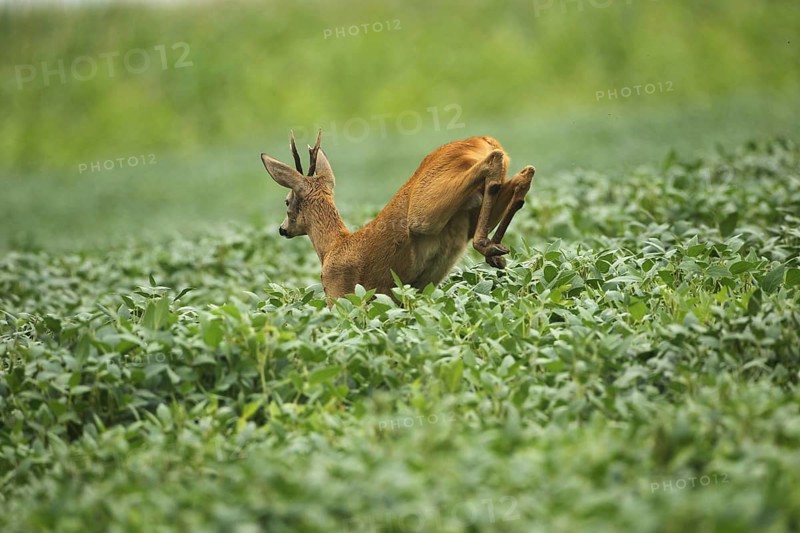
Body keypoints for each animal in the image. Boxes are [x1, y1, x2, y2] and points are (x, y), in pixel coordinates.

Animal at [260, 131, 535, 304]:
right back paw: (496, 252)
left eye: (287, 201)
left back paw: (487, 247)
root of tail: (483, 140)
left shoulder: (340, 294)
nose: (282, 229)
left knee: (495, 162)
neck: (332, 248)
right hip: (467, 213)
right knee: (523, 174)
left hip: (424, 212)